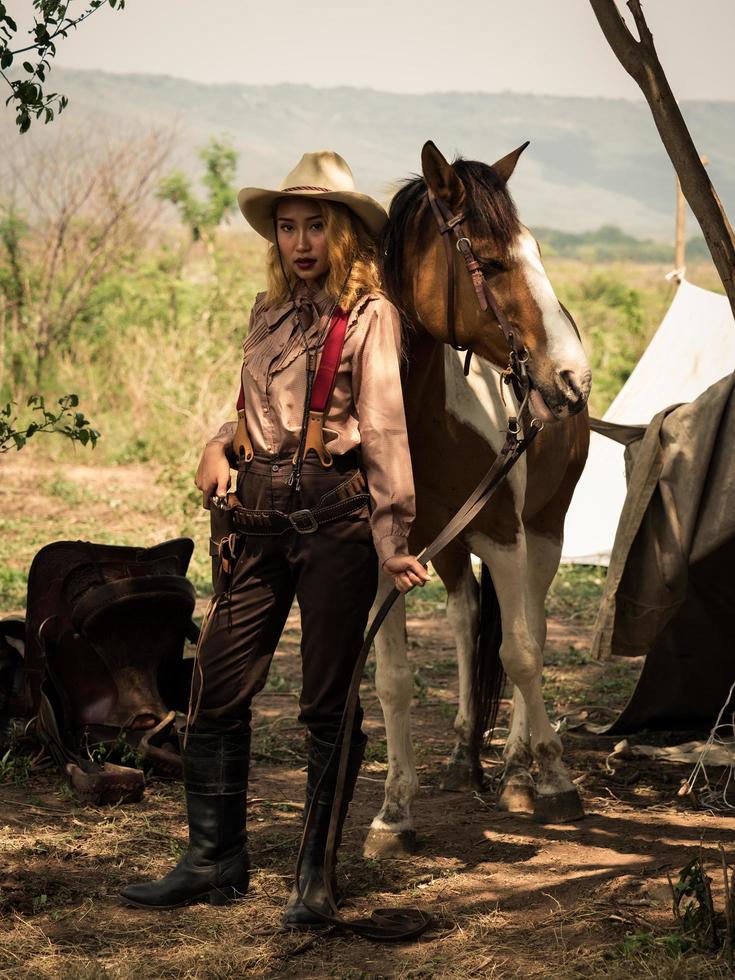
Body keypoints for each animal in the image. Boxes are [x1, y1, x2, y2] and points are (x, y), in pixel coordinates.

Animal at [366, 140, 596, 856]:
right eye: (490, 262)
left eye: (539, 251)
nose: (572, 378)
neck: (417, 424)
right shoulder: (387, 557)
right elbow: (393, 681)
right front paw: (393, 811)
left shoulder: (503, 536)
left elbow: (520, 652)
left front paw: (555, 780)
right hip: (448, 548)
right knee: (468, 619)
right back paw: (464, 754)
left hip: (545, 529)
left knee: (532, 629)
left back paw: (521, 769)